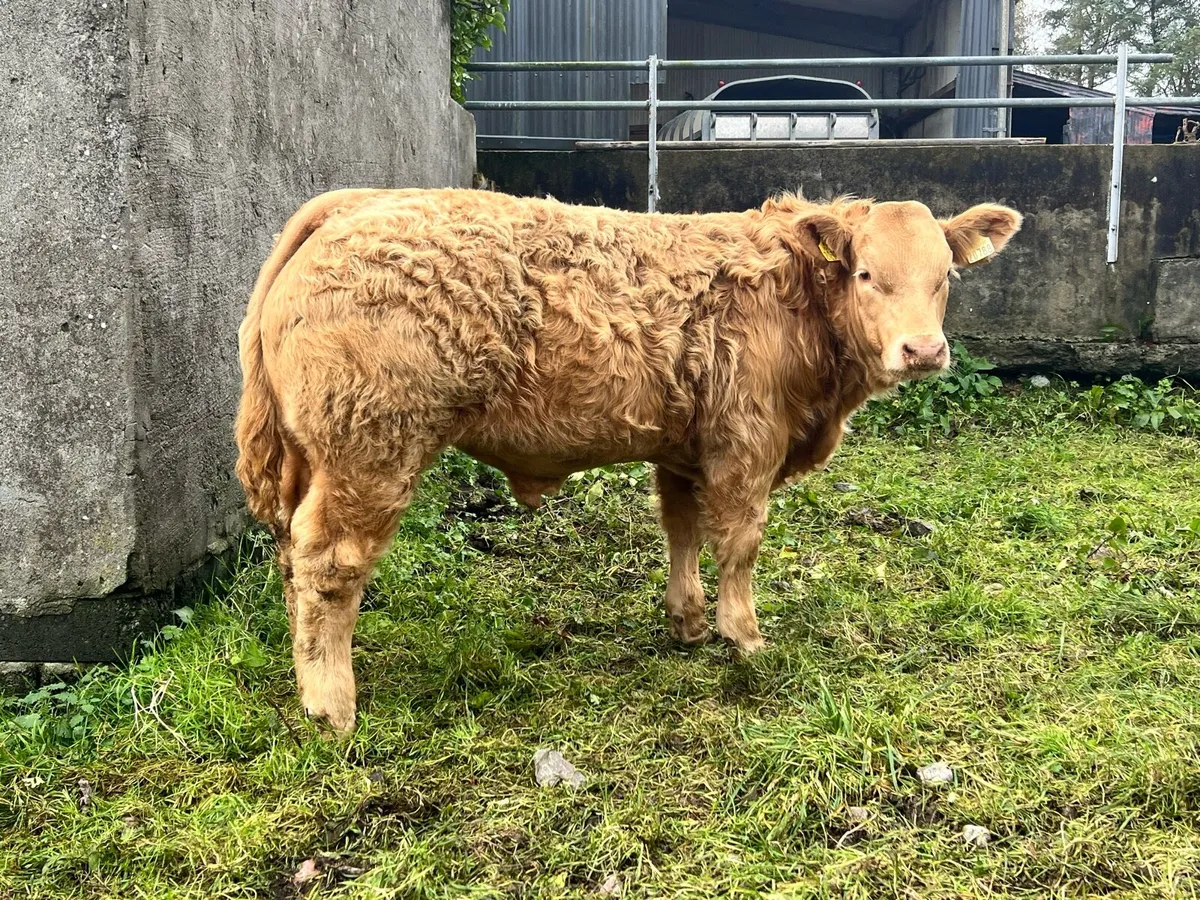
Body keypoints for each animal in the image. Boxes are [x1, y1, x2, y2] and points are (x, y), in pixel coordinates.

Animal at [234, 187, 1021, 732]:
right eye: (865, 274)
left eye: (944, 276)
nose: (923, 350)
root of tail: (354, 202)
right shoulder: (748, 442)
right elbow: (739, 541)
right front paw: (745, 637)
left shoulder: (684, 449)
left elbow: (683, 530)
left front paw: (688, 623)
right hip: (371, 452)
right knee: (330, 562)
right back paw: (332, 705)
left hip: (313, 460)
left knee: (292, 554)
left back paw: (306, 672)